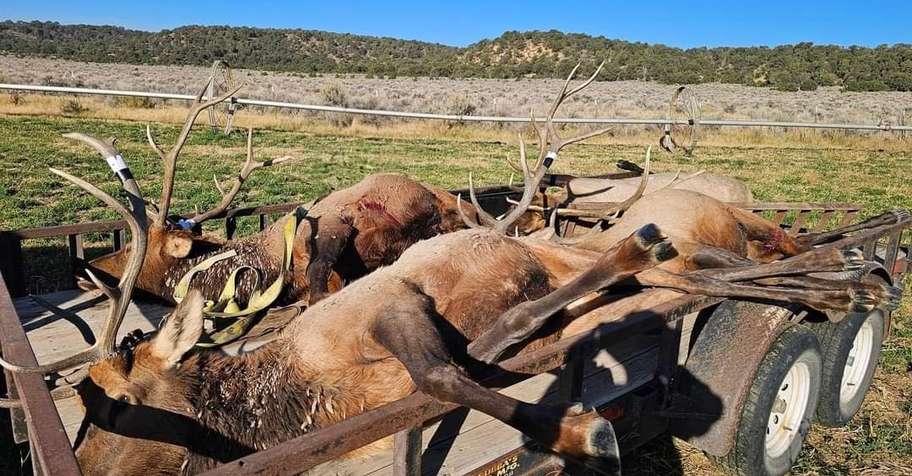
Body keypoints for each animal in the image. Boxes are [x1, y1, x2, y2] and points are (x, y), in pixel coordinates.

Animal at [1, 66, 900, 475]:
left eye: (108, 408)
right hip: (675, 275)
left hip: (679, 243)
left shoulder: (392, 301)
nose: (72, 465)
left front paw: (581, 428)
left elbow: (448, 374)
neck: (291, 398)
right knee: (713, 277)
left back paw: (845, 270)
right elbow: (491, 350)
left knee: (721, 264)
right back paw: (846, 278)